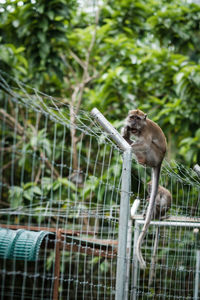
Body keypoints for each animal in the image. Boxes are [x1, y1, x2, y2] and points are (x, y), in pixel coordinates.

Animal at [121, 109, 166, 268]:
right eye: (132, 117)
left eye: (138, 118)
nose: (132, 123)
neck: (140, 129)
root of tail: (160, 161)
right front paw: (125, 132)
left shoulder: (146, 132)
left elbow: (144, 144)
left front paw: (128, 143)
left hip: (154, 155)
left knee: (147, 146)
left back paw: (138, 156)